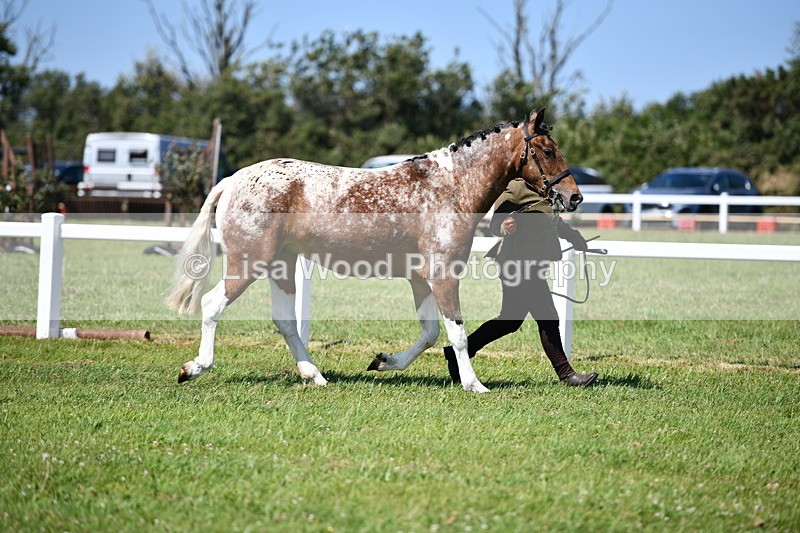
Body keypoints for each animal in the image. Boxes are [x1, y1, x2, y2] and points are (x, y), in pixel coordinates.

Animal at [166, 108, 582, 393]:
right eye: (547, 150)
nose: (574, 196)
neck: (450, 187)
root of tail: (232, 181)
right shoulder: (444, 276)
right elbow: (458, 333)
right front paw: (474, 385)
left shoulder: (421, 279)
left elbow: (431, 333)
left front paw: (384, 361)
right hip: (249, 263)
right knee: (212, 305)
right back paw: (194, 368)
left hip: (281, 266)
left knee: (284, 320)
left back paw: (315, 375)